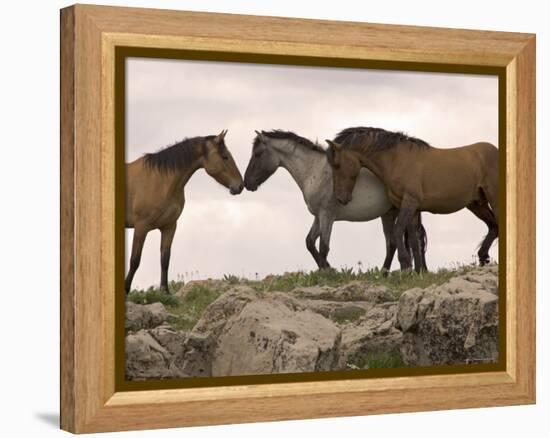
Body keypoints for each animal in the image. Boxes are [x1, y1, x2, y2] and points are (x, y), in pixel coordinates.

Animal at [128, 130, 245, 294]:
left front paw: (165, 292)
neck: (160, 181)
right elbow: (134, 260)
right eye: (225, 156)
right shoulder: (141, 226)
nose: (240, 185)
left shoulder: (169, 226)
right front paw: (126, 289)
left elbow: (165, 259)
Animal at [246, 130, 432, 272]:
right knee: (398, 242)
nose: (247, 183)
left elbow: (324, 246)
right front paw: (327, 269)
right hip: (390, 213)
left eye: (257, 154)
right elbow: (309, 242)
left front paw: (327, 272)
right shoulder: (318, 216)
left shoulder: (327, 215)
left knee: (409, 240)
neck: (315, 171)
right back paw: (389, 273)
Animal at [330, 126, 502, 270]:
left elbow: (398, 229)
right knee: (493, 226)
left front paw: (406, 265)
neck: (396, 159)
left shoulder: (410, 202)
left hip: (494, 198)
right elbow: (414, 239)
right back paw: (483, 257)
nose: (340, 198)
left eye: (336, 165)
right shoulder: (412, 209)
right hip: (476, 204)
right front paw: (419, 271)